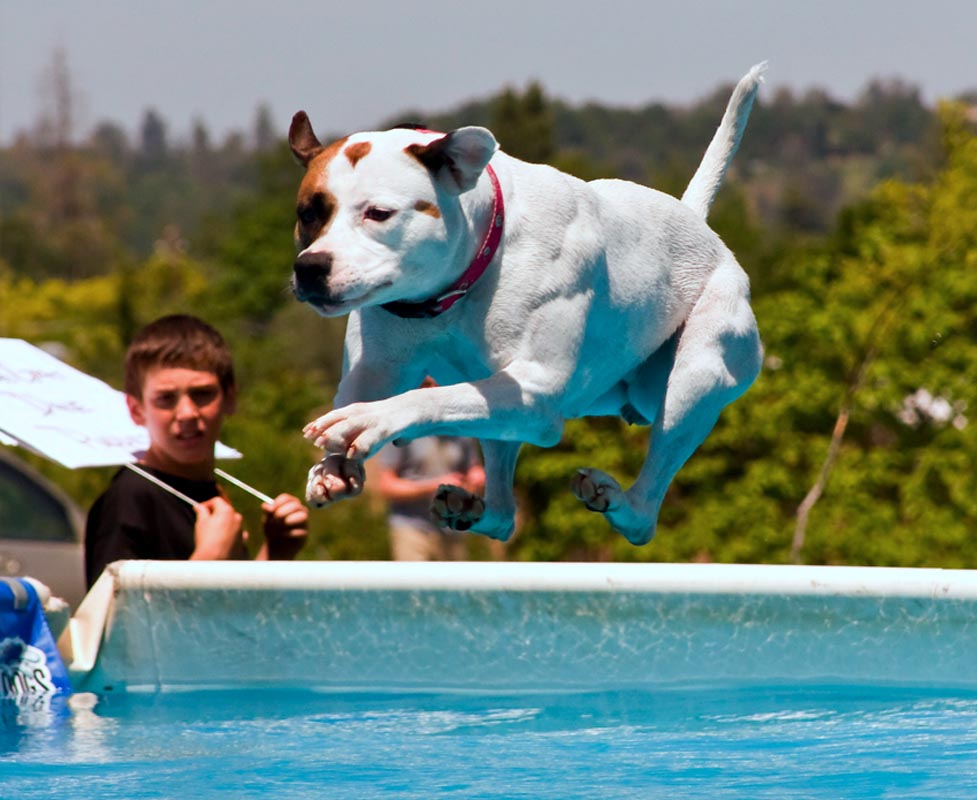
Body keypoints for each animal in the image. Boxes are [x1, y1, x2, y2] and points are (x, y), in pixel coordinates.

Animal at [286, 64, 768, 544]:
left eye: (379, 214)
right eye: (308, 213)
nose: (310, 267)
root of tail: (699, 225)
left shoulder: (537, 391)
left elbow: (426, 398)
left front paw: (368, 422)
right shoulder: (379, 367)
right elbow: (371, 389)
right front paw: (333, 467)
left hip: (691, 382)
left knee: (645, 512)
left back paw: (618, 499)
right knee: (503, 515)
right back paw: (470, 508)